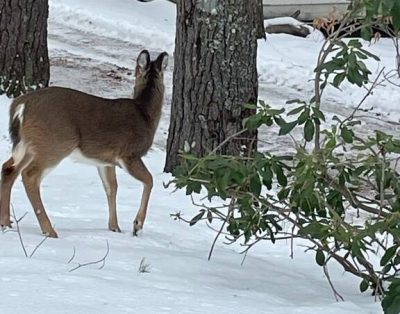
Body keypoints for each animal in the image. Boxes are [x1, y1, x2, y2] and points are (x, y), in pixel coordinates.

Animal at [0, 49, 168, 237]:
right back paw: (49, 230)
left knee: (9, 169)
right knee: (29, 175)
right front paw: (137, 225)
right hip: (55, 143)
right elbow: (149, 180)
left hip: (30, 144)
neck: (145, 114)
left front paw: (115, 227)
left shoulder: (105, 161)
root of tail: (21, 105)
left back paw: (6, 222)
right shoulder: (129, 154)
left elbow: (112, 188)